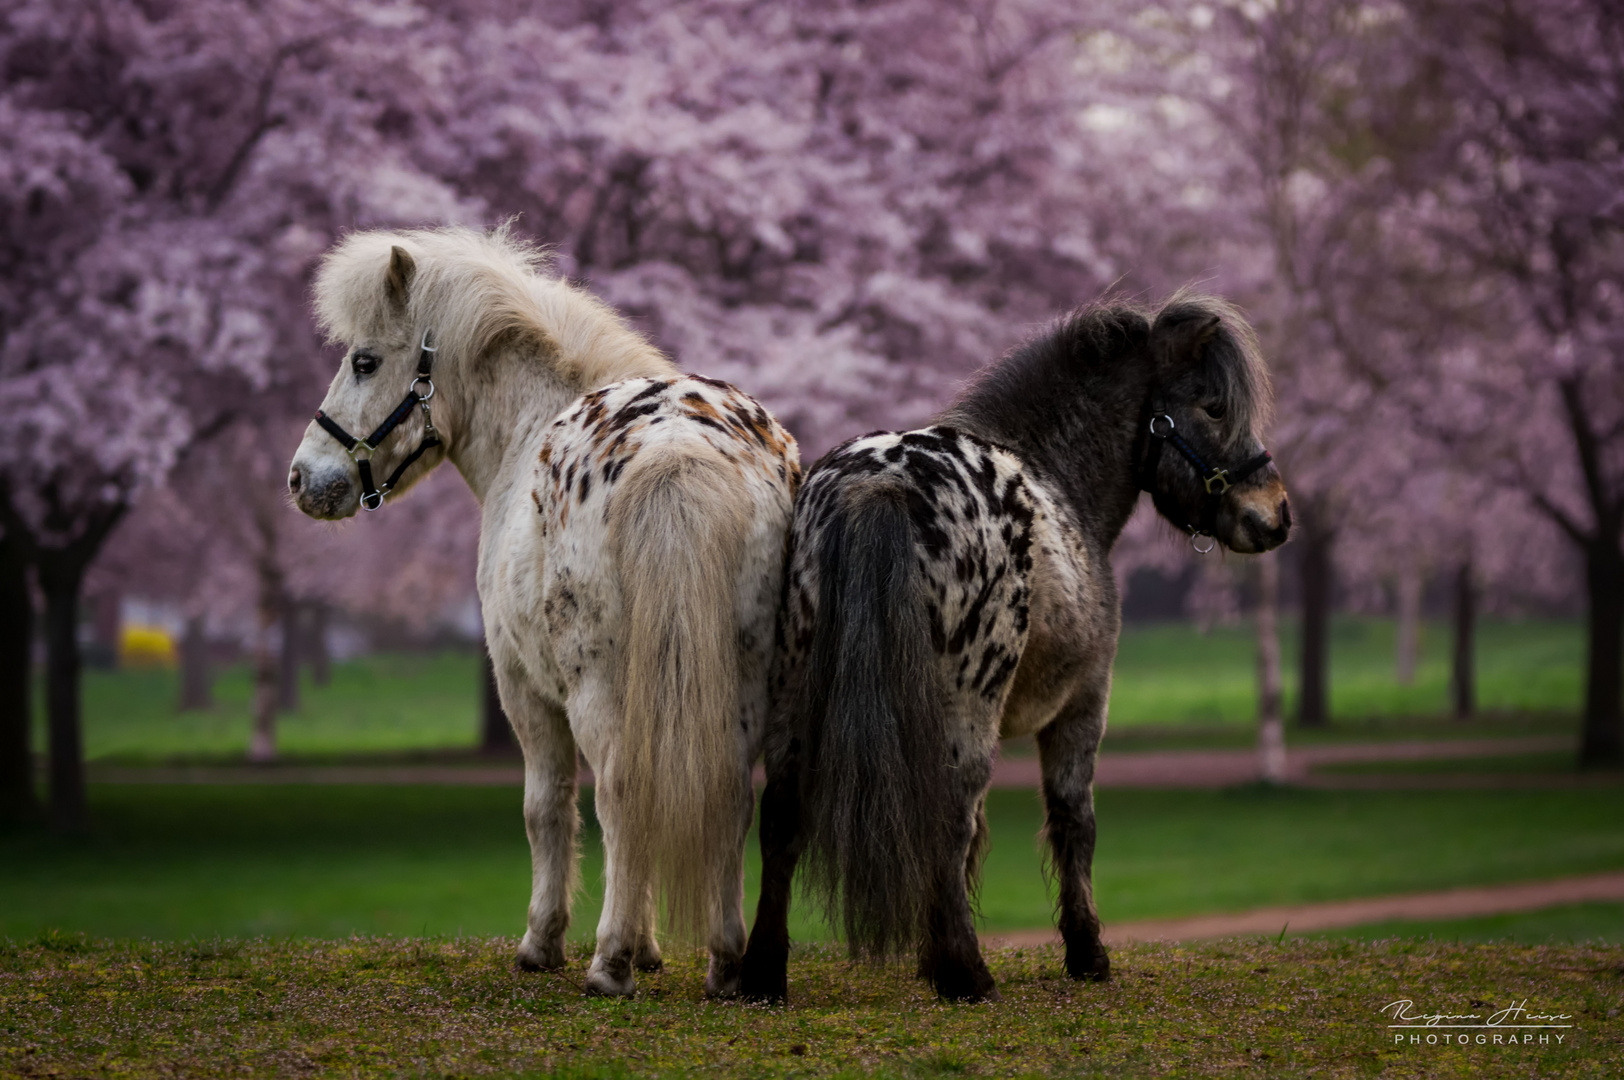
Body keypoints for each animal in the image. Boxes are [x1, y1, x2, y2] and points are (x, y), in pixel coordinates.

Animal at [292, 225, 805, 993]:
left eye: (364, 361)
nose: (302, 478)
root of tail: (677, 449)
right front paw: (650, 948)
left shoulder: (523, 691)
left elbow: (547, 809)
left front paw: (547, 940)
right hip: (740, 685)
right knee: (729, 794)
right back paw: (723, 959)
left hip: (597, 689)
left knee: (619, 790)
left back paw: (609, 962)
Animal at [743, 290, 1286, 1000]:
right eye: (1214, 406)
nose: (1276, 513)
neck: (1054, 472)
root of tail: (878, 487)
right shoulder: (1083, 706)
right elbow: (1072, 822)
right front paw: (1087, 953)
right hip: (967, 708)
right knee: (951, 814)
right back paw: (967, 974)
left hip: (795, 694)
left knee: (782, 815)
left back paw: (762, 971)